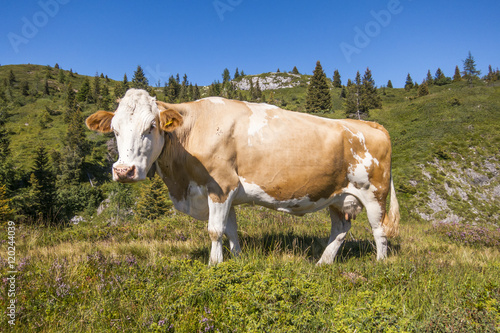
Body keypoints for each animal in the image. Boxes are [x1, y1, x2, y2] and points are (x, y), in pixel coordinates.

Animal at [85, 89, 398, 264]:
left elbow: (214, 230)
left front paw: (214, 265)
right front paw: (235, 259)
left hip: (374, 192)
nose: (123, 171)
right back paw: (324, 262)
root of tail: (370, 124)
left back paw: (381, 265)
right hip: (338, 195)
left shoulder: (220, 186)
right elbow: (230, 230)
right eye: (114, 129)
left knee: (379, 230)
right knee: (341, 228)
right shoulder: (227, 194)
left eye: (151, 125)